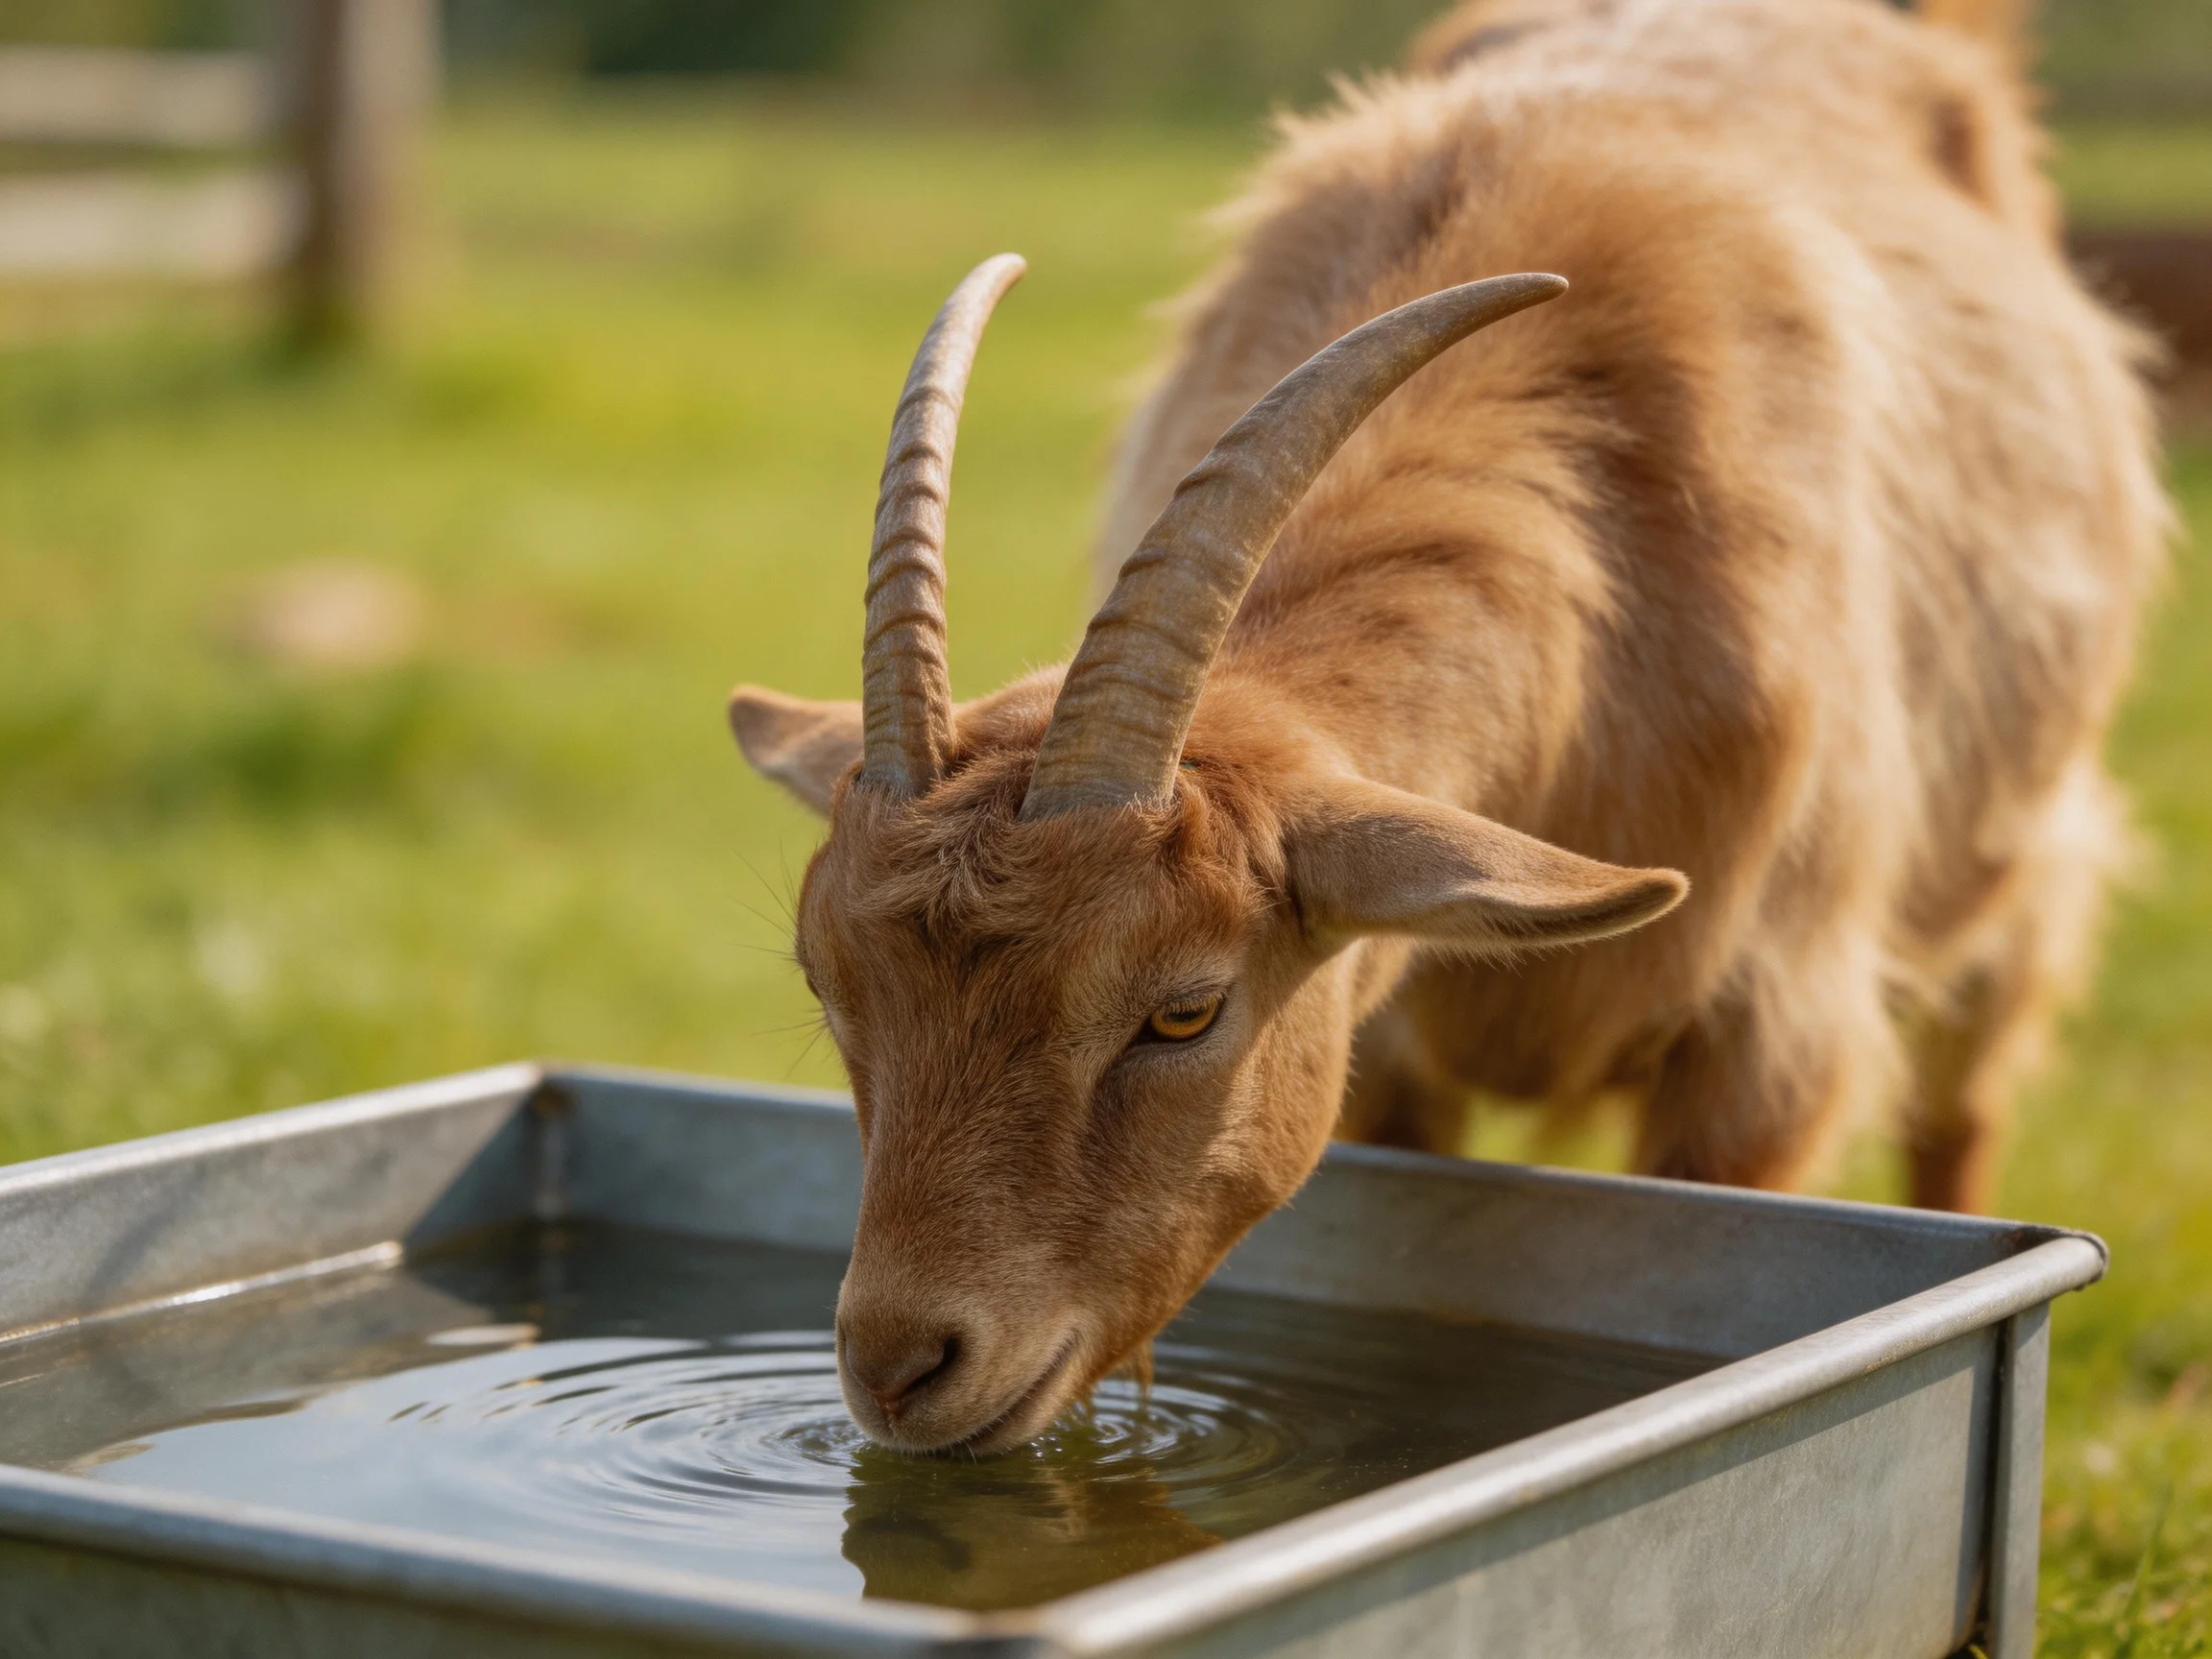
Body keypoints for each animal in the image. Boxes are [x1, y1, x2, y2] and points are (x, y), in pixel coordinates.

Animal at [727, 0, 2166, 1454]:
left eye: (1185, 1012)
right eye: (828, 983)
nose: (901, 1365)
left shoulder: (1769, 1041)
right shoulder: (1388, 1044)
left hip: (2017, 868)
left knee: (1963, 1101)